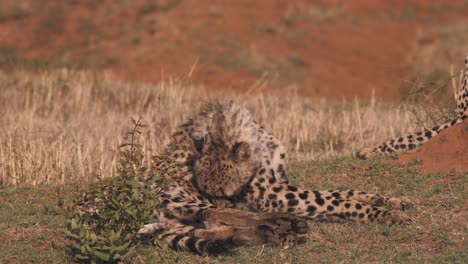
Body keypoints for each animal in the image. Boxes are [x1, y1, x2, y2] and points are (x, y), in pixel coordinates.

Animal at [141, 100, 412, 254]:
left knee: (209, 228)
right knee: (220, 217)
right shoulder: (271, 194)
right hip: (184, 201)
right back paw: (283, 225)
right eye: (206, 190)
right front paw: (385, 214)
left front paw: (388, 201)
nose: (228, 201)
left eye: (226, 193)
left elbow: (338, 193)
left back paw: (274, 233)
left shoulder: (280, 184)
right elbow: (334, 201)